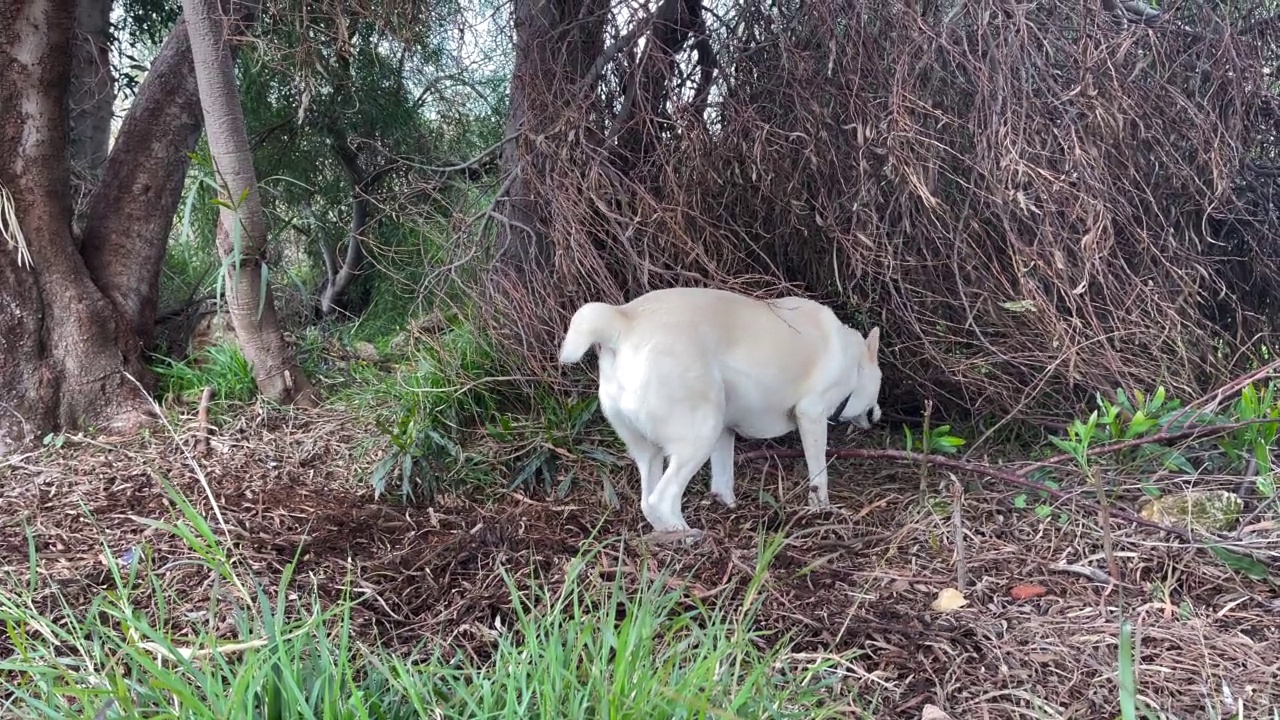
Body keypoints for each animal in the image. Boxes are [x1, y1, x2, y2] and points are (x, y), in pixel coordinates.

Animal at [555, 285, 885, 538]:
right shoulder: (811, 415)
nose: (879, 416)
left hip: (656, 449)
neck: (853, 361)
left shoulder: (725, 430)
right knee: (662, 499)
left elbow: (723, 478)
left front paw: (728, 506)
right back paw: (686, 535)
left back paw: (668, 533)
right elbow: (819, 474)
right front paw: (822, 509)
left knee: (648, 502)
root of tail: (623, 321)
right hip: (698, 436)